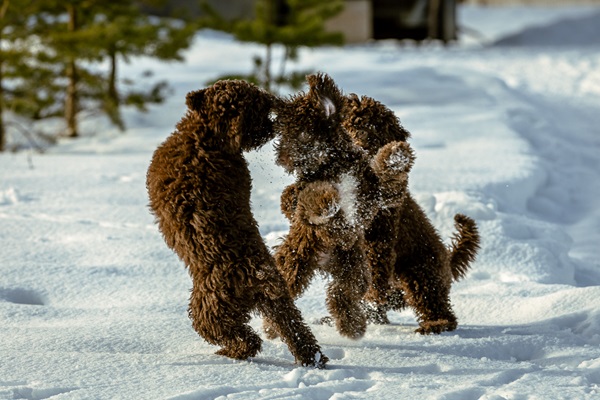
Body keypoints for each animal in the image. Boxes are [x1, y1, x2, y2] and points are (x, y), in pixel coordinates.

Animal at [146, 79, 328, 368]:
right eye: (258, 111)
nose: (271, 127)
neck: (207, 138)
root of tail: (255, 273)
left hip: (209, 311)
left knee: (245, 339)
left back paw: (229, 353)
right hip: (279, 300)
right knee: (296, 331)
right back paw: (314, 358)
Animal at [268, 73, 418, 340]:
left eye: (303, 135)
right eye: (282, 135)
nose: (283, 159)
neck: (335, 162)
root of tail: (322, 261)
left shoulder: (373, 191)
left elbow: (387, 180)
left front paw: (396, 155)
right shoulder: (304, 193)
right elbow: (310, 196)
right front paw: (328, 203)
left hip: (353, 268)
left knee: (341, 294)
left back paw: (352, 326)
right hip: (296, 263)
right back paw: (271, 327)